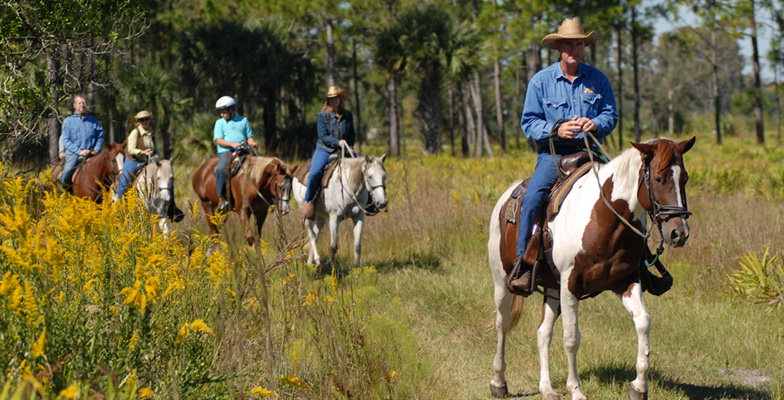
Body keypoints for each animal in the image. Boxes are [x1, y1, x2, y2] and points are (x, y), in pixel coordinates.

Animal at [486, 138, 696, 400]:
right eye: (658, 178)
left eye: (685, 177)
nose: (679, 233)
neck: (605, 218)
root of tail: (507, 195)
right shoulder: (570, 285)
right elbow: (571, 338)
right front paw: (576, 390)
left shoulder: (626, 282)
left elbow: (643, 322)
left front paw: (639, 386)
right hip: (502, 281)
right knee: (502, 324)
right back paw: (499, 382)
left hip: (552, 289)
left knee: (543, 332)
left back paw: (547, 388)